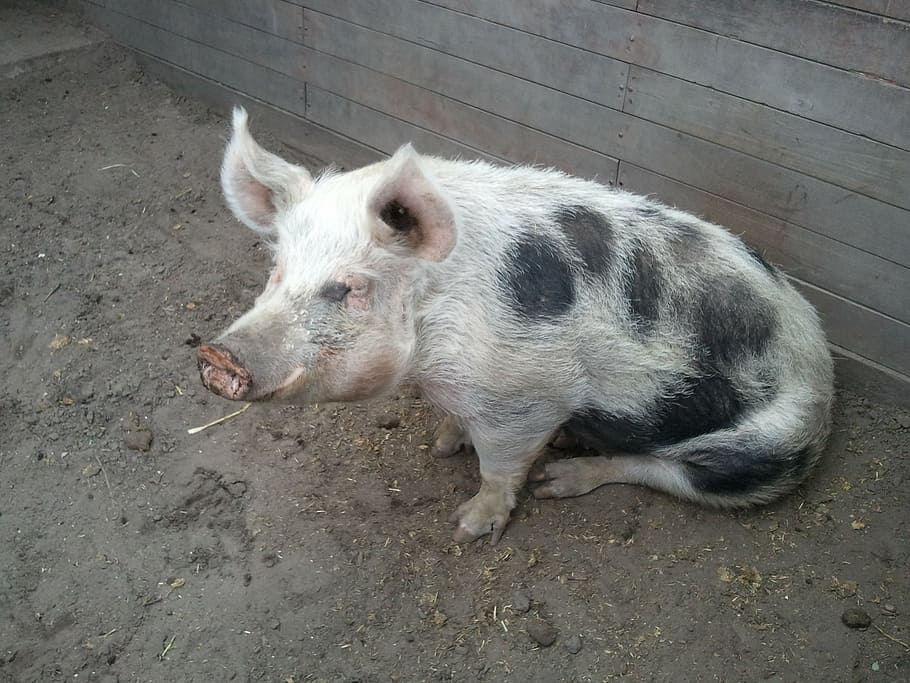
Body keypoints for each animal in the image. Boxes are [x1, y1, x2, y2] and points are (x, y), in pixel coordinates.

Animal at [198, 108, 834, 544]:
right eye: (277, 269)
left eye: (350, 287)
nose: (216, 355)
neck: (434, 349)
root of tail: (827, 373)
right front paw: (441, 445)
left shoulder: (527, 400)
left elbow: (499, 470)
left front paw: (466, 527)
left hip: (764, 454)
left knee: (663, 470)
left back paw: (559, 479)